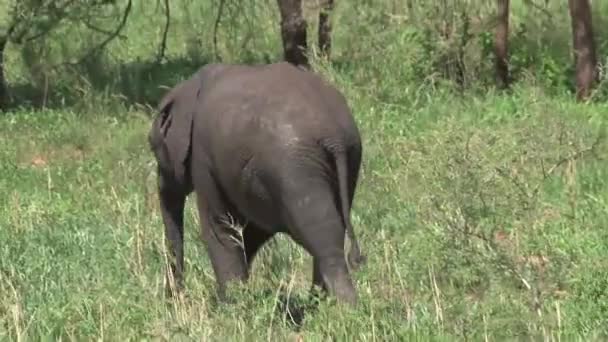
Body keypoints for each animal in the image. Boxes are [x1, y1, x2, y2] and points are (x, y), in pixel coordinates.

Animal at [147, 60, 366, 304]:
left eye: (153, 148)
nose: (174, 297)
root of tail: (334, 138)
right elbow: (254, 230)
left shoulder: (203, 156)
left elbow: (220, 226)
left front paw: (228, 306)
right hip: (348, 157)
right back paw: (318, 303)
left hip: (296, 168)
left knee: (322, 233)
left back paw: (341, 306)